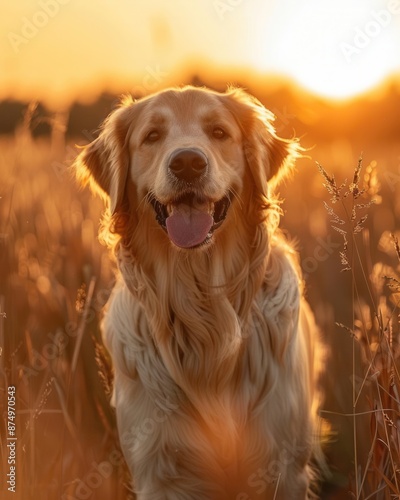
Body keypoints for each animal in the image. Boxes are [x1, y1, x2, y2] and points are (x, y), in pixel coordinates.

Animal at [73, 86, 320, 500]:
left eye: (219, 132)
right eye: (152, 136)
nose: (187, 163)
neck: (201, 302)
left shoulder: (282, 467)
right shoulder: (160, 470)